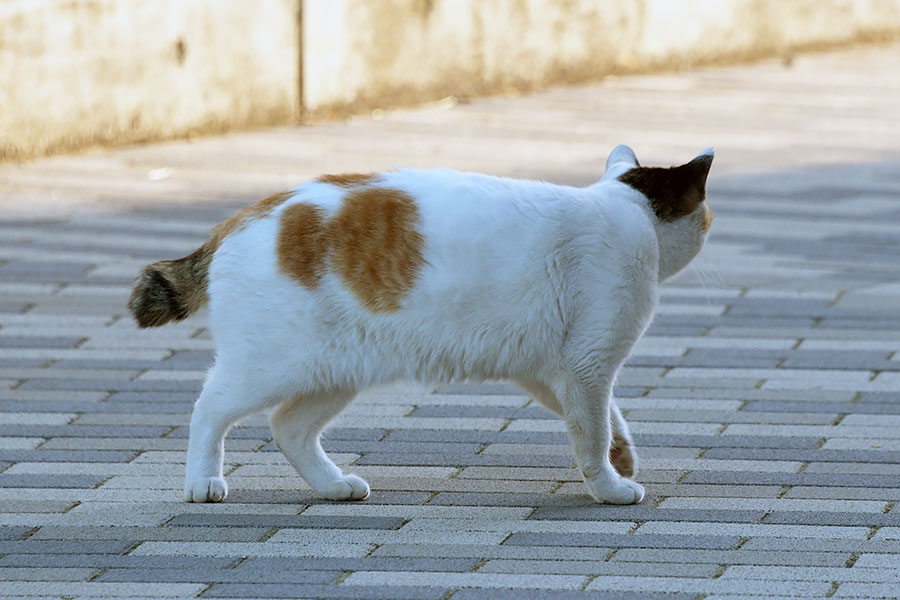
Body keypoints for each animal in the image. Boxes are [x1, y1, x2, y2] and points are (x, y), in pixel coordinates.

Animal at [128, 145, 716, 506]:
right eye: (706, 218)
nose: (712, 225)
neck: (625, 206)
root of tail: (234, 222)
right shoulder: (588, 364)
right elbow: (592, 433)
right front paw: (611, 487)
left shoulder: (552, 373)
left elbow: (605, 421)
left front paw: (623, 458)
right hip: (269, 366)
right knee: (209, 409)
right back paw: (204, 480)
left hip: (333, 371)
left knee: (288, 427)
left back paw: (334, 485)